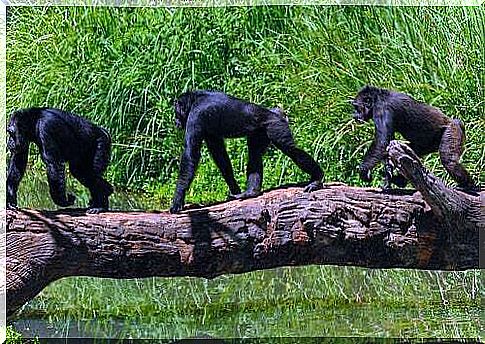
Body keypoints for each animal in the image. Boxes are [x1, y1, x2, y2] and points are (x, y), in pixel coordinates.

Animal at [168, 90, 324, 212]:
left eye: (176, 112)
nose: (175, 121)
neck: (194, 100)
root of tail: (277, 112)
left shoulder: (196, 116)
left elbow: (190, 154)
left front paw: (177, 199)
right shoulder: (210, 133)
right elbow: (220, 156)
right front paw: (235, 189)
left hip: (276, 126)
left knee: (291, 150)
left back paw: (317, 178)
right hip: (260, 132)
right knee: (255, 154)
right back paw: (250, 192)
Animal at [350, 83, 478, 191]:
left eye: (356, 107)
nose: (354, 115)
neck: (377, 99)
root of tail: (457, 122)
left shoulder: (382, 109)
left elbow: (382, 142)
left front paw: (363, 170)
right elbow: (387, 144)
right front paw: (387, 178)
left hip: (452, 131)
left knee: (449, 161)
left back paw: (469, 186)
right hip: (429, 144)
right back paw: (400, 181)